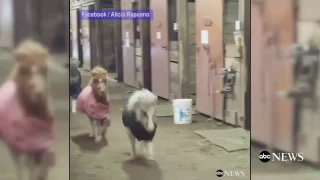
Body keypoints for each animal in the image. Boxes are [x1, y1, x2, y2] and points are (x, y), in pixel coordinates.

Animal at [0, 39, 55, 180]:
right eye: (24, 70)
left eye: (45, 69)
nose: (38, 94)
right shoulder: (23, 144)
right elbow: (29, 168)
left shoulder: (43, 143)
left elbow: (41, 163)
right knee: (20, 165)